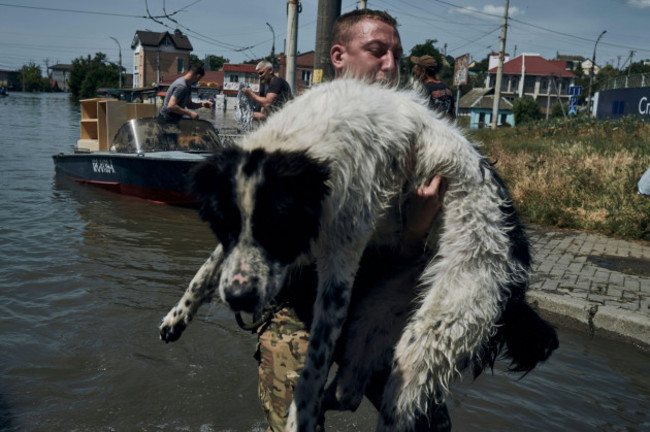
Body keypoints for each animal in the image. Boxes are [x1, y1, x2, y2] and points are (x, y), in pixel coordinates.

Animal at [158, 79, 556, 430]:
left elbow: (314, 364)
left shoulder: (340, 262)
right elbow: (208, 268)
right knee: (349, 390)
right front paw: (177, 317)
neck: (303, 141)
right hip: (376, 313)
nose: (239, 297)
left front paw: (299, 415)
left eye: (278, 228)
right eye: (223, 226)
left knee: (396, 405)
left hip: (439, 328)